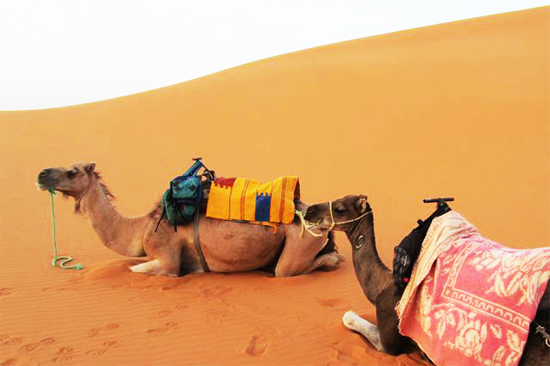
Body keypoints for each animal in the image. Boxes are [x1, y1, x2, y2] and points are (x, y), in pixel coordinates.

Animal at [36, 163, 342, 278]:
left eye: (73, 171)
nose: (42, 173)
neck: (141, 227)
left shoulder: (167, 256)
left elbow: (138, 269)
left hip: (300, 243)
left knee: (293, 268)